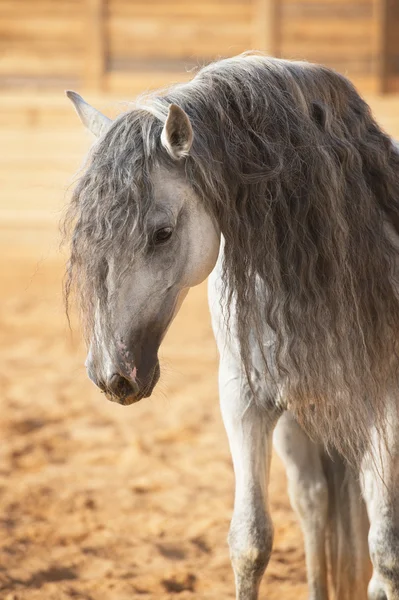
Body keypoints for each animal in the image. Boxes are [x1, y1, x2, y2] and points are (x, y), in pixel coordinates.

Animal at [64, 54, 399, 596]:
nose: (112, 373)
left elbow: (386, 550)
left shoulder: (384, 403)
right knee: (314, 502)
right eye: (89, 233)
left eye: (163, 232)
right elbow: (250, 541)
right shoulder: (245, 399)